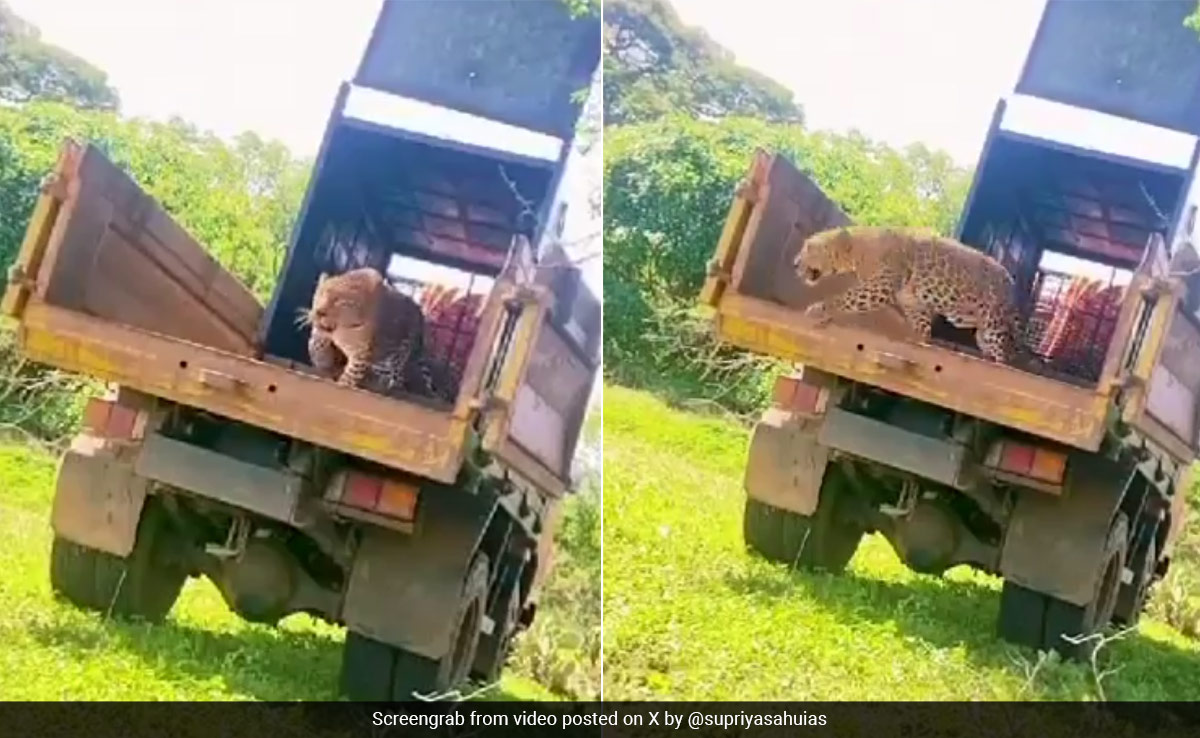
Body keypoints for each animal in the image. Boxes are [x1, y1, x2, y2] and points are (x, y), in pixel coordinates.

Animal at [302, 267, 433, 393]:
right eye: (320, 295)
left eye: (338, 301)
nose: (319, 312)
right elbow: (318, 352)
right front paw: (318, 343)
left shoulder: (360, 356)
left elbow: (350, 376)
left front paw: (343, 384)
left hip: (393, 358)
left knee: (394, 377)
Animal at [793, 225, 1024, 364]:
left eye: (809, 247)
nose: (794, 263)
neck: (858, 251)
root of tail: (1012, 284)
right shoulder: (913, 303)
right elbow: (921, 329)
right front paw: (914, 340)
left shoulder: (878, 287)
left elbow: (847, 298)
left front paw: (819, 309)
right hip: (982, 332)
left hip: (994, 323)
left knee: (1004, 356)